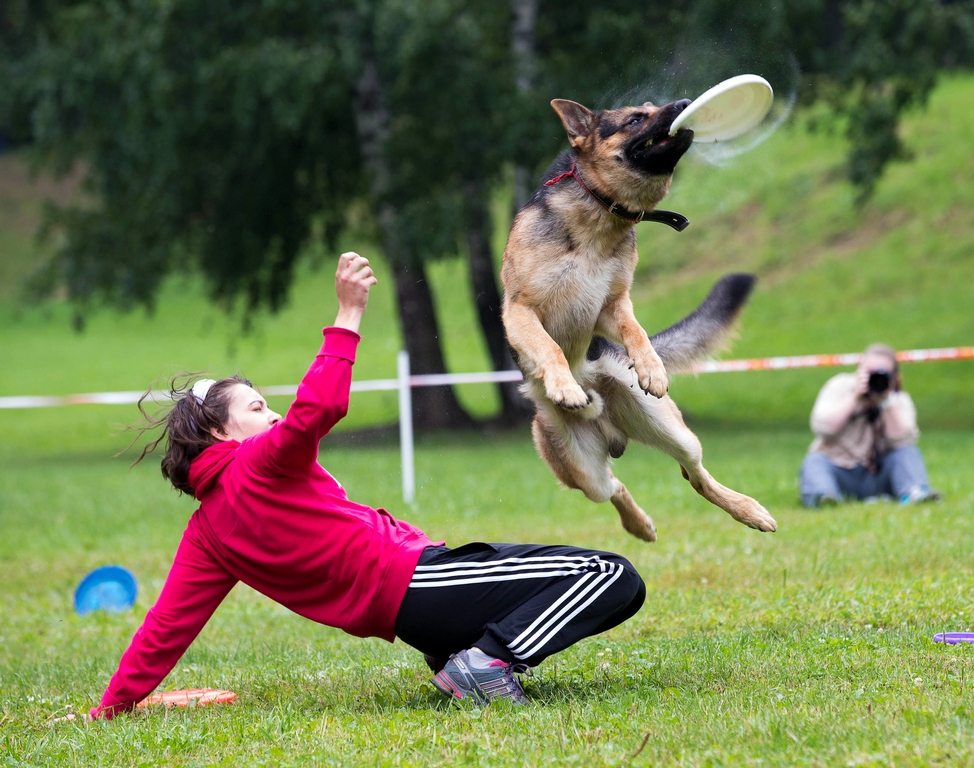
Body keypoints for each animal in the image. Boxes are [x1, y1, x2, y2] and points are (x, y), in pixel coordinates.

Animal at [504, 96, 776, 540]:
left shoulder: (613, 306)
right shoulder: (520, 309)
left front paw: (652, 368)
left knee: (695, 475)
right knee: (614, 485)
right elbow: (549, 347)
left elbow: (637, 330)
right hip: (582, 468)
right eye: (635, 118)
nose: (684, 103)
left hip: (673, 431)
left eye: (652, 107)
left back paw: (748, 511)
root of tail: (607, 424)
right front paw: (564, 386)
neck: (598, 215)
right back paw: (639, 524)